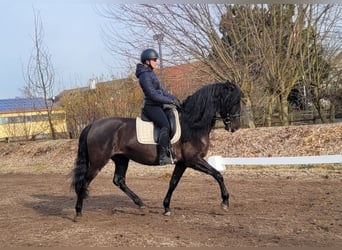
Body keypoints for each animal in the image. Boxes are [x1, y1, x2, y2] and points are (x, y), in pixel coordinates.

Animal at [72, 81, 242, 220]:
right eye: (234, 101)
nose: (235, 127)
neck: (191, 124)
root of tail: (93, 124)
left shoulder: (182, 163)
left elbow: (173, 183)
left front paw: (166, 207)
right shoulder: (194, 160)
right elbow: (218, 175)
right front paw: (225, 202)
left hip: (121, 159)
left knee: (118, 180)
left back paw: (140, 203)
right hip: (98, 162)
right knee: (84, 182)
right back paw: (78, 212)